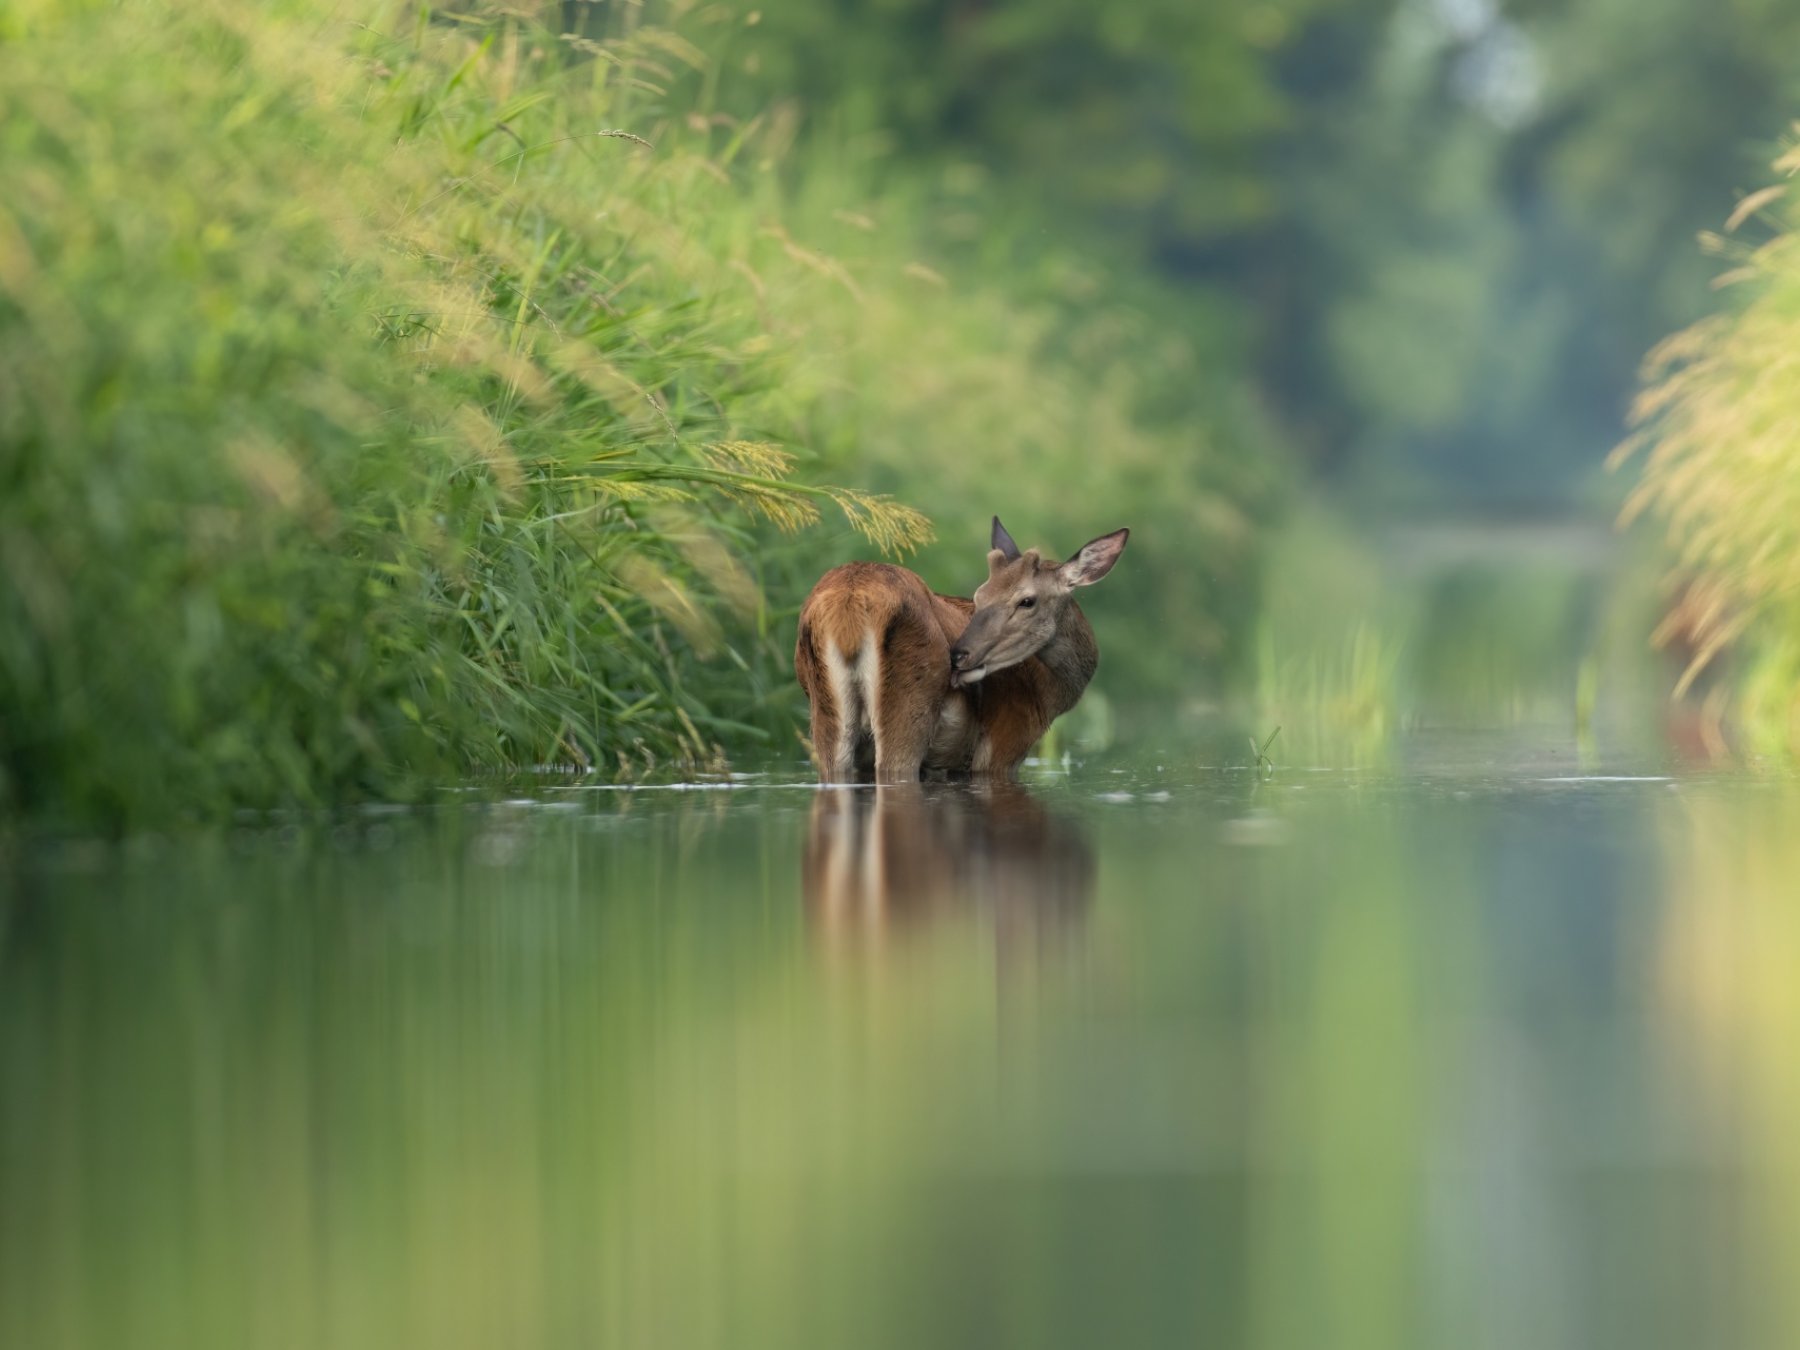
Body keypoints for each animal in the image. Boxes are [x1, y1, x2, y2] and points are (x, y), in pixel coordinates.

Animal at [792, 522, 1123, 792]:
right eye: (980, 596)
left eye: (1027, 601)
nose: (960, 656)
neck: (1047, 693)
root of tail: (848, 600)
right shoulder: (1003, 743)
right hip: (908, 705)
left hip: (826, 714)